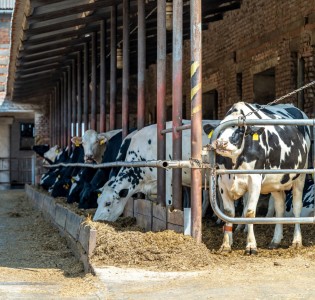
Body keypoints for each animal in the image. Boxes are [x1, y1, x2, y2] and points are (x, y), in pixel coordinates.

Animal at [205, 102, 312, 254]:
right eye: (219, 130)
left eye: (240, 131)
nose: (221, 143)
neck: (234, 164)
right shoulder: (222, 182)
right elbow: (228, 212)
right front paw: (226, 244)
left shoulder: (254, 181)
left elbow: (250, 212)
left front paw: (251, 246)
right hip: (276, 183)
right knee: (280, 207)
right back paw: (275, 240)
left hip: (300, 176)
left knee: (297, 206)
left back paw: (296, 241)